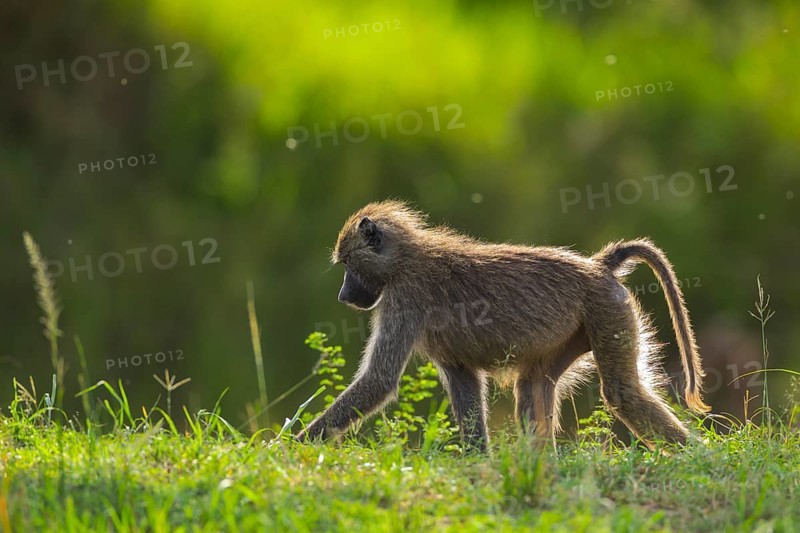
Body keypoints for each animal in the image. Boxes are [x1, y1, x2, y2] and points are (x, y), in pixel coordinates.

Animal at [297, 200, 709, 451]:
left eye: (348, 265)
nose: (343, 295)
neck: (405, 257)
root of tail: (598, 266)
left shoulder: (403, 298)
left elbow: (379, 381)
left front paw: (290, 446)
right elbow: (464, 384)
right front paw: (478, 460)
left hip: (606, 310)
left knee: (623, 394)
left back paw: (697, 457)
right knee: (533, 386)